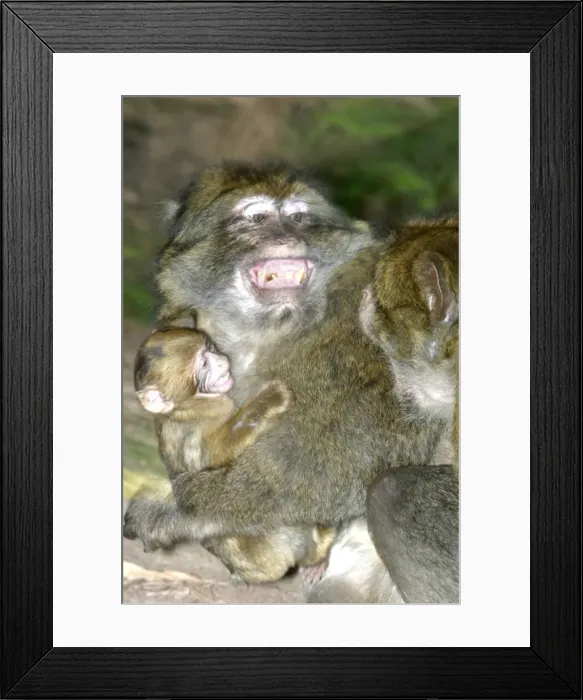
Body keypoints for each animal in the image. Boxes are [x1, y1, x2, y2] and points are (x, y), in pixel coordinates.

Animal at [126, 325, 336, 582]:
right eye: (203, 364)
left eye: (210, 347)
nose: (221, 360)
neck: (187, 407)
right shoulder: (195, 430)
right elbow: (216, 457)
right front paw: (271, 398)